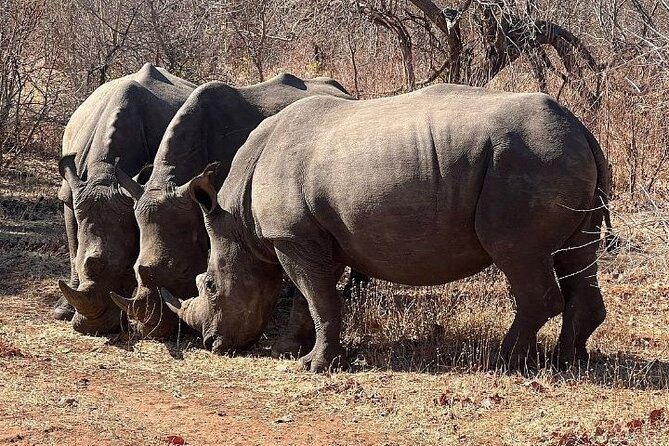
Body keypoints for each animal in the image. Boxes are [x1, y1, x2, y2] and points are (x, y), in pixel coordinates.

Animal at [56, 63, 196, 334]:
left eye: (122, 270)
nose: (93, 327)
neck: (104, 173)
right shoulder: (72, 194)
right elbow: (74, 248)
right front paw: (63, 312)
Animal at [159, 84, 615, 372]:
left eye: (209, 286)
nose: (212, 345)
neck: (238, 219)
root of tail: (583, 130)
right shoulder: (310, 238)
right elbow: (311, 300)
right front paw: (290, 351)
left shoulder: (292, 238)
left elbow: (319, 299)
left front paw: (313, 366)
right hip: (557, 156)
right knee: (576, 255)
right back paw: (568, 362)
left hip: (528, 162)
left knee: (521, 255)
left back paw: (504, 362)